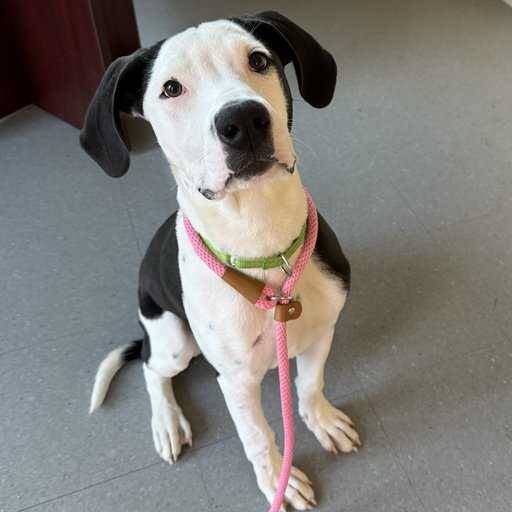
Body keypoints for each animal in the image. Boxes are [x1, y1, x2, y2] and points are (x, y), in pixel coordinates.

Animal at [81, 13, 360, 512]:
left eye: (259, 60)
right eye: (171, 88)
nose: (243, 120)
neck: (263, 244)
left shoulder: (321, 331)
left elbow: (309, 385)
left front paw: (321, 420)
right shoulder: (235, 381)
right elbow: (258, 436)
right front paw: (278, 481)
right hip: (174, 340)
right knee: (151, 366)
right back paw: (167, 421)